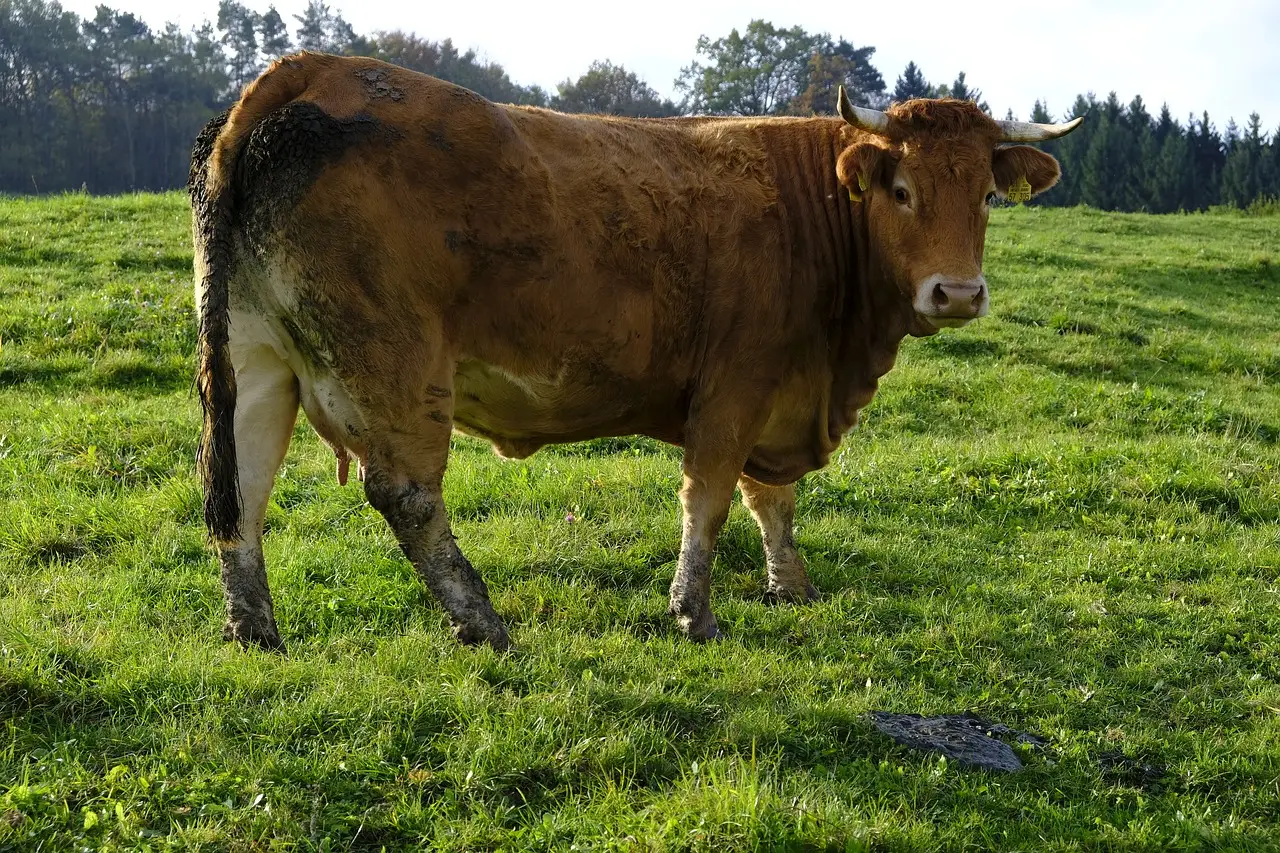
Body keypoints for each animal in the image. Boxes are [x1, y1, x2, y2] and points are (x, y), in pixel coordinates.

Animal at [190, 52, 1081, 652]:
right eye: (902, 190)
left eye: (987, 194)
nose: (957, 293)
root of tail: (311, 70)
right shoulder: (736, 385)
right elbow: (711, 498)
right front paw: (694, 611)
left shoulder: (781, 388)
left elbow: (772, 499)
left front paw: (789, 585)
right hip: (393, 363)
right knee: (406, 495)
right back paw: (484, 621)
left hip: (255, 357)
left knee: (243, 490)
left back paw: (254, 629)